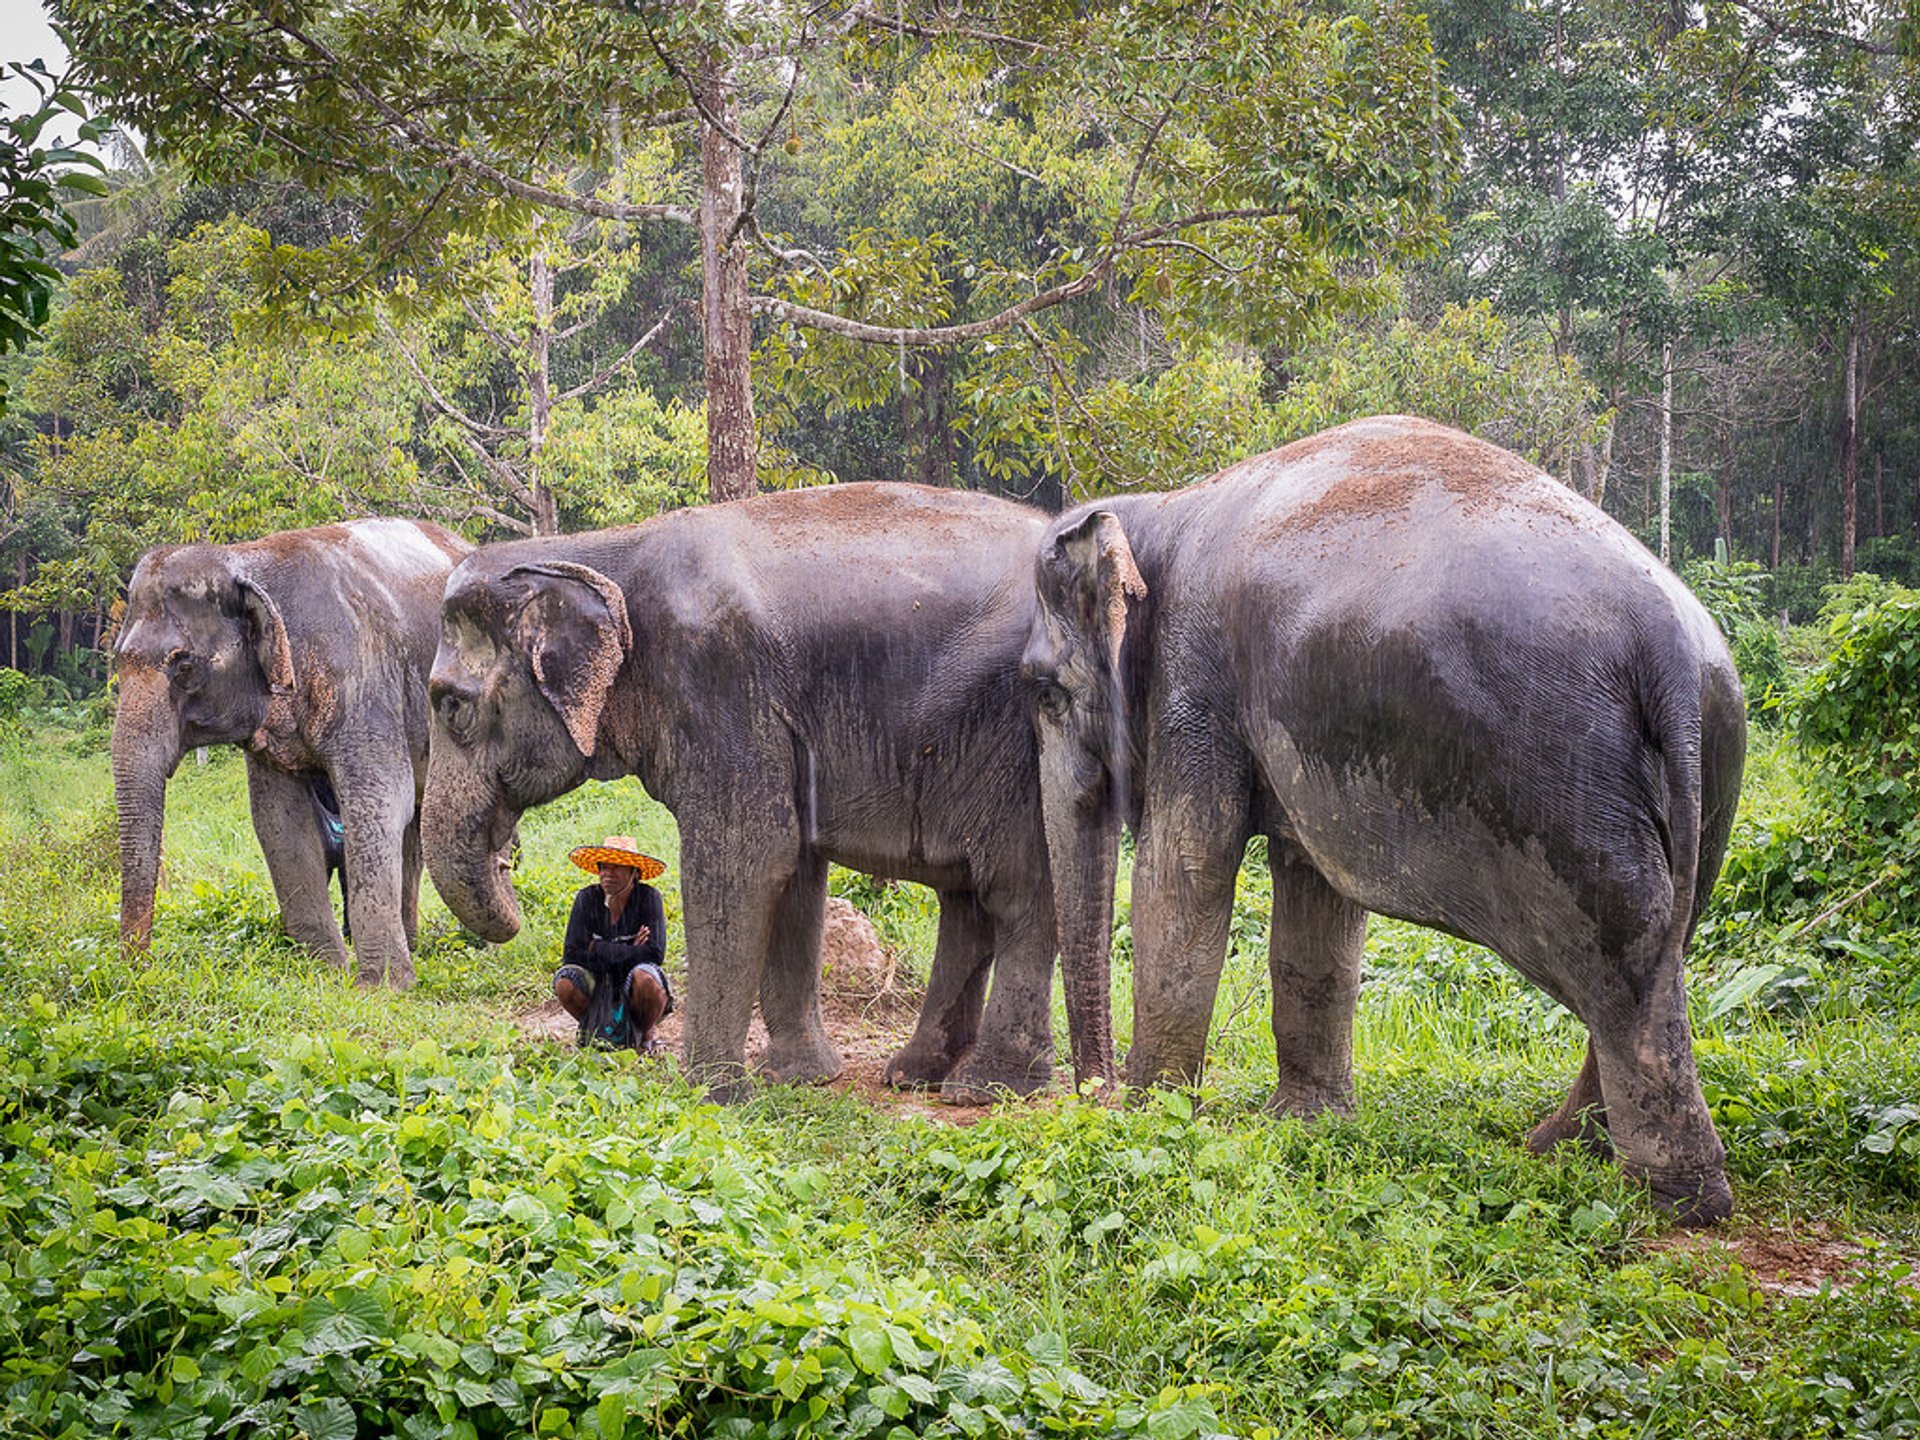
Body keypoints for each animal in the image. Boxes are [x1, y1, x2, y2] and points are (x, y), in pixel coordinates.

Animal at [112, 522, 472, 990]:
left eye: (183, 665)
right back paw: (413, 945)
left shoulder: (363, 680)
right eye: (118, 662)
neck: (243, 559)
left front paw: (382, 987)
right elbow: (279, 820)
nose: (140, 969)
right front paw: (328, 972)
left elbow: (378, 802)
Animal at [420, 485, 1113, 1105]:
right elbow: (796, 876)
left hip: (1022, 745)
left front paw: (712, 1096)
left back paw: (985, 1090)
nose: (507, 865)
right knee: (965, 897)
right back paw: (916, 1077)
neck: (593, 551)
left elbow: (744, 864)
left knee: (1016, 891)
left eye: (451, 706)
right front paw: (798, 1079)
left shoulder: (720, 687)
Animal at [1029, 410, 1751, 1221]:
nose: (1093, 1098)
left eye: (1044, 693)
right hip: (1712, 763)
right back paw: (1560, 1147)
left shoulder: (1196, 679)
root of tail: (1670, 651)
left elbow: (1186, 870)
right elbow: (1314, 896)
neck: (1159, 510)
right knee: (1662, 944)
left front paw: (1155, 1121)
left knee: (1627, 959)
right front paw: (1303, 1124)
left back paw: (1674, 1201)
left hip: (1572, 781)